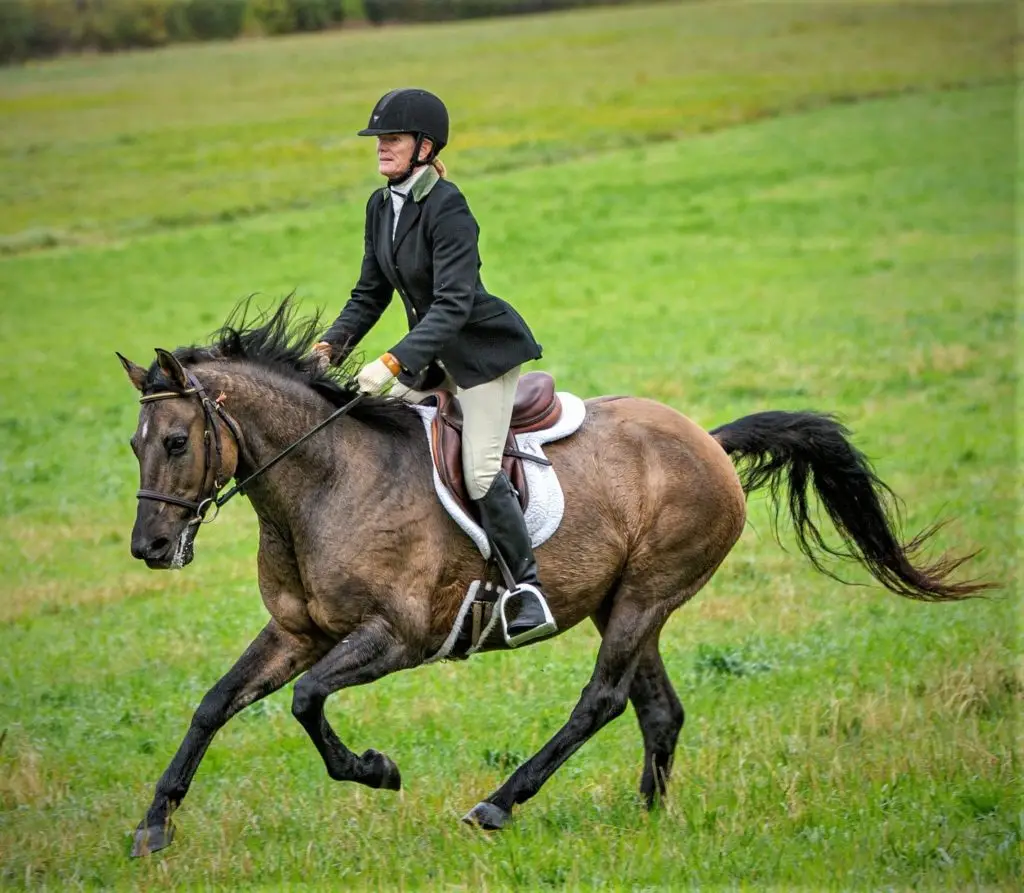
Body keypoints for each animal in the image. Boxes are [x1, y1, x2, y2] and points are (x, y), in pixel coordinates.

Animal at [116, 301, 987, 856]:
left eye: (176, 441)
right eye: (135, 444)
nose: (151, 547)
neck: (327, 482)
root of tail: (706, 440)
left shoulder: (397, 636)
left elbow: (306, 701)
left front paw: (376, 769)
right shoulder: (298, 630)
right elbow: (215, 702)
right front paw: (154, 824)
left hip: (646, 595)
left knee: (601, 700)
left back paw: (499, 802)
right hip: (623, 604)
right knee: (659, 710)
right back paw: (648, 819)